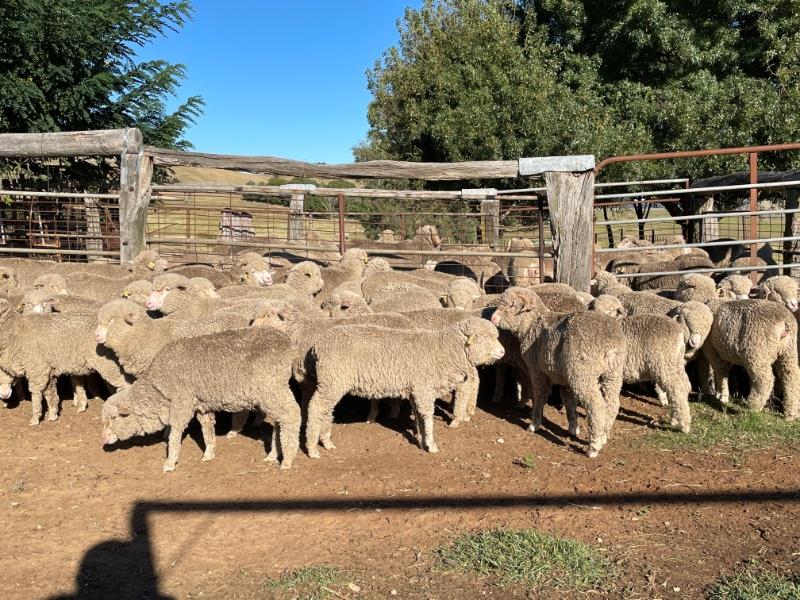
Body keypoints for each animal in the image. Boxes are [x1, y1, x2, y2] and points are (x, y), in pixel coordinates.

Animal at [101, 326, 300, 472]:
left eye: (115, 418)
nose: (103, 439)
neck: (159, 388)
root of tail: (286, 341)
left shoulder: (182, 403)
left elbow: (174, 434)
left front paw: (170, 462)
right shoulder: (201, 405)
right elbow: (207, 429)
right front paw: (209, 453)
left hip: (271, 387)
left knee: (292, 414)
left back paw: (287, 459)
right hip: (273, 391)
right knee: (279, 420)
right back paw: (274, 454)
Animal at [304, 322, 504, 458]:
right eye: (485, 337)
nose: (502, 352)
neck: (443, 351)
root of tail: (318, 346)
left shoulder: (416, 389)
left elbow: (418, 416)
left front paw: (421, 440)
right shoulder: (424, 388)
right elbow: (427, 416)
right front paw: (431, 444)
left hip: (332, 383)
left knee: (326, 410)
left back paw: (326, 441)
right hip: (332, 381)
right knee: (316, 407)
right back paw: (312, 448)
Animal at [490, 288, 628, 458]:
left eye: (511, 304)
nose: (492, 318)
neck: (532, 326)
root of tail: (610, 344)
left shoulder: (536, 370)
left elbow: (539, 395)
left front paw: (534, 424)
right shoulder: (564, 377)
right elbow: (568, 400)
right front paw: (573, 427)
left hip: (582, 373)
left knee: (596, 405)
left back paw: (594, 446)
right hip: (612, 374)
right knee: (612, 404)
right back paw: (603, 436)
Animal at [588, 292, 692, 428]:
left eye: (610, 311)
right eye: (593, 308)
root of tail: (678, 329)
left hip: (664, 363)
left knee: (676, 388)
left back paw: (684, 425)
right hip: (675, 361)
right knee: (685, 385)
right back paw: (675, 419)